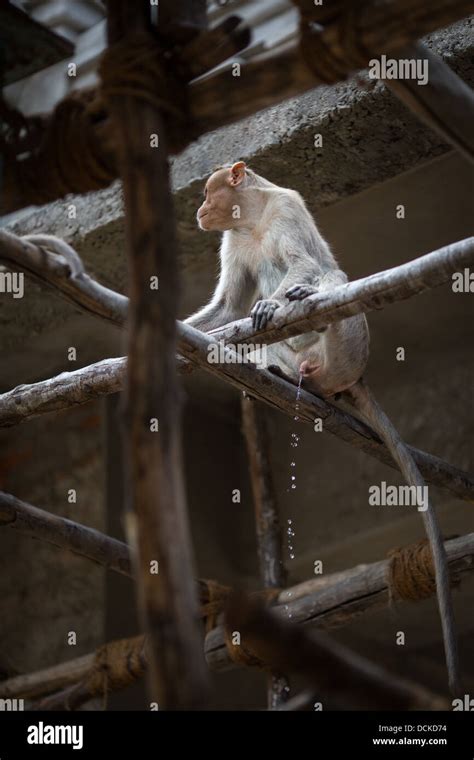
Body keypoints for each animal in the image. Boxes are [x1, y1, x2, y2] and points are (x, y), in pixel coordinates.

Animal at [187, 160, 462, 696]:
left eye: (208, 193)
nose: (200, 211)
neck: (252, 219)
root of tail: (346, 377)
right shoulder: (231, 242)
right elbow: (228, 308)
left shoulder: (285, 209)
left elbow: (301, 263)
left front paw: (281, 298)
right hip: (303, 361)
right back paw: (280, 373)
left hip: (348, 349)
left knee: (330, 278)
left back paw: (304, 300)